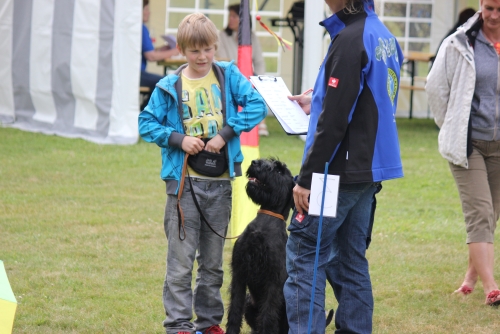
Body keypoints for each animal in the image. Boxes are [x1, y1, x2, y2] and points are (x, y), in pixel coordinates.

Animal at [226, 159, 294, 334]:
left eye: (279, 171)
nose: (255, 162)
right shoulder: (239, 273)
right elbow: (234, 310)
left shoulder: (273, 281)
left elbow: (267, 316)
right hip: (250, 302)